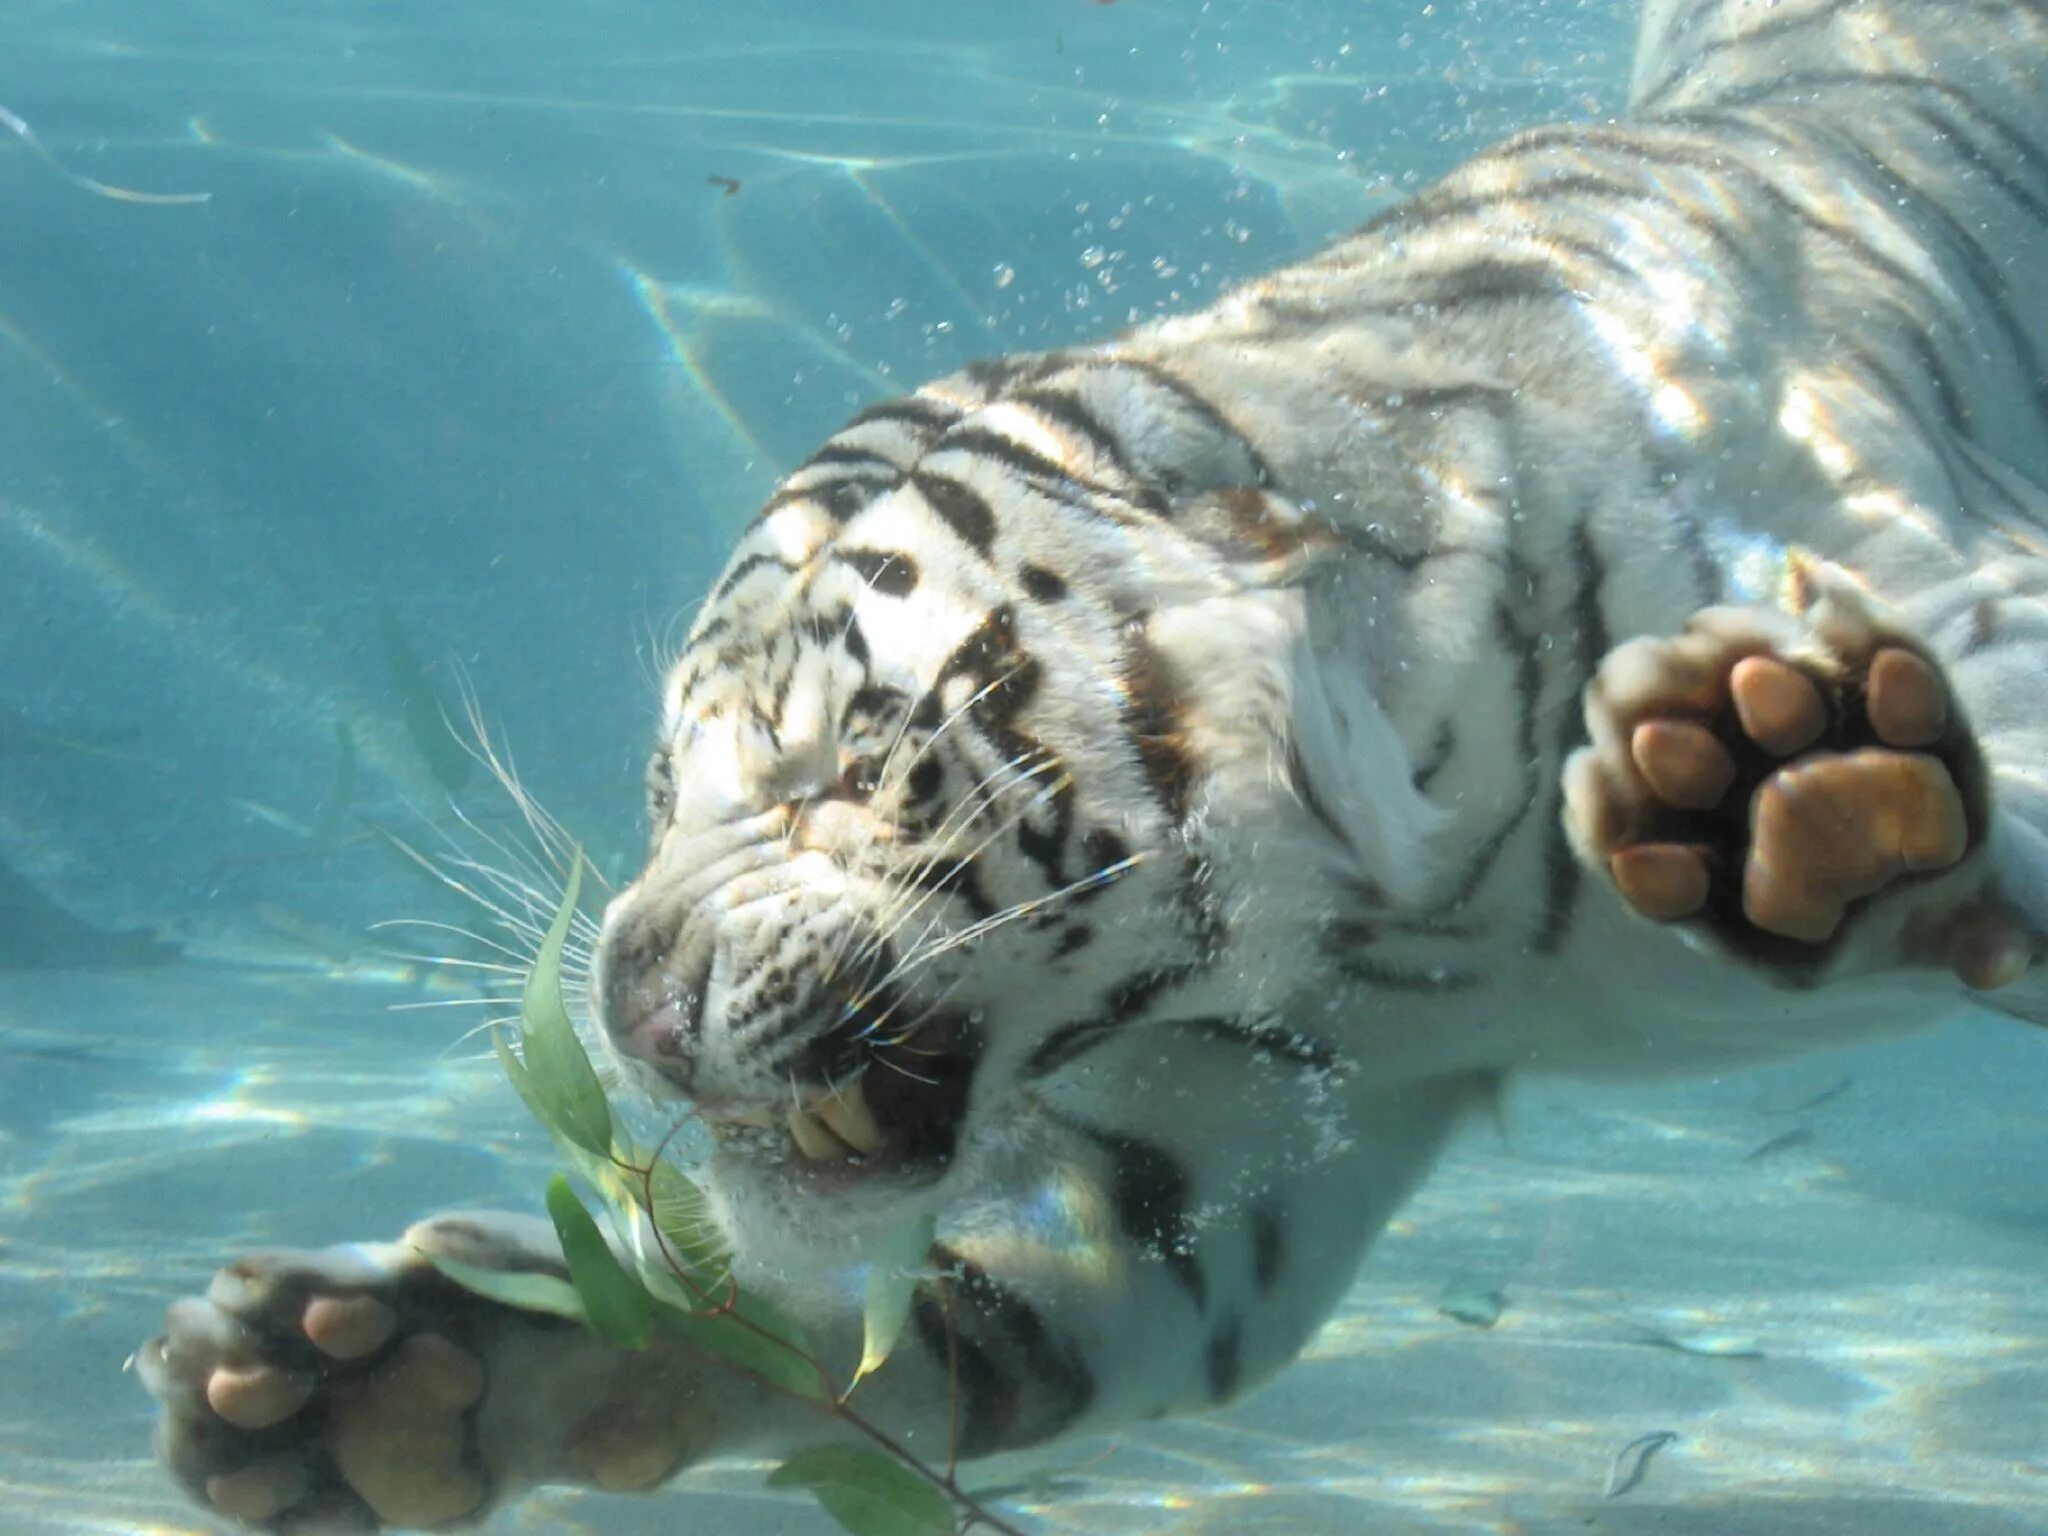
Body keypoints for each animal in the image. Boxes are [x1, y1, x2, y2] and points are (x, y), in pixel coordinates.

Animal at [140, 3, 2048, 1531]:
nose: (623, 1003)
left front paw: (1769, 779)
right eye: (664, 791)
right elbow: (914, 1330)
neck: (1408, 907)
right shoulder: (1223, 1146)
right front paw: (385, 1380)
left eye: (825, 757)